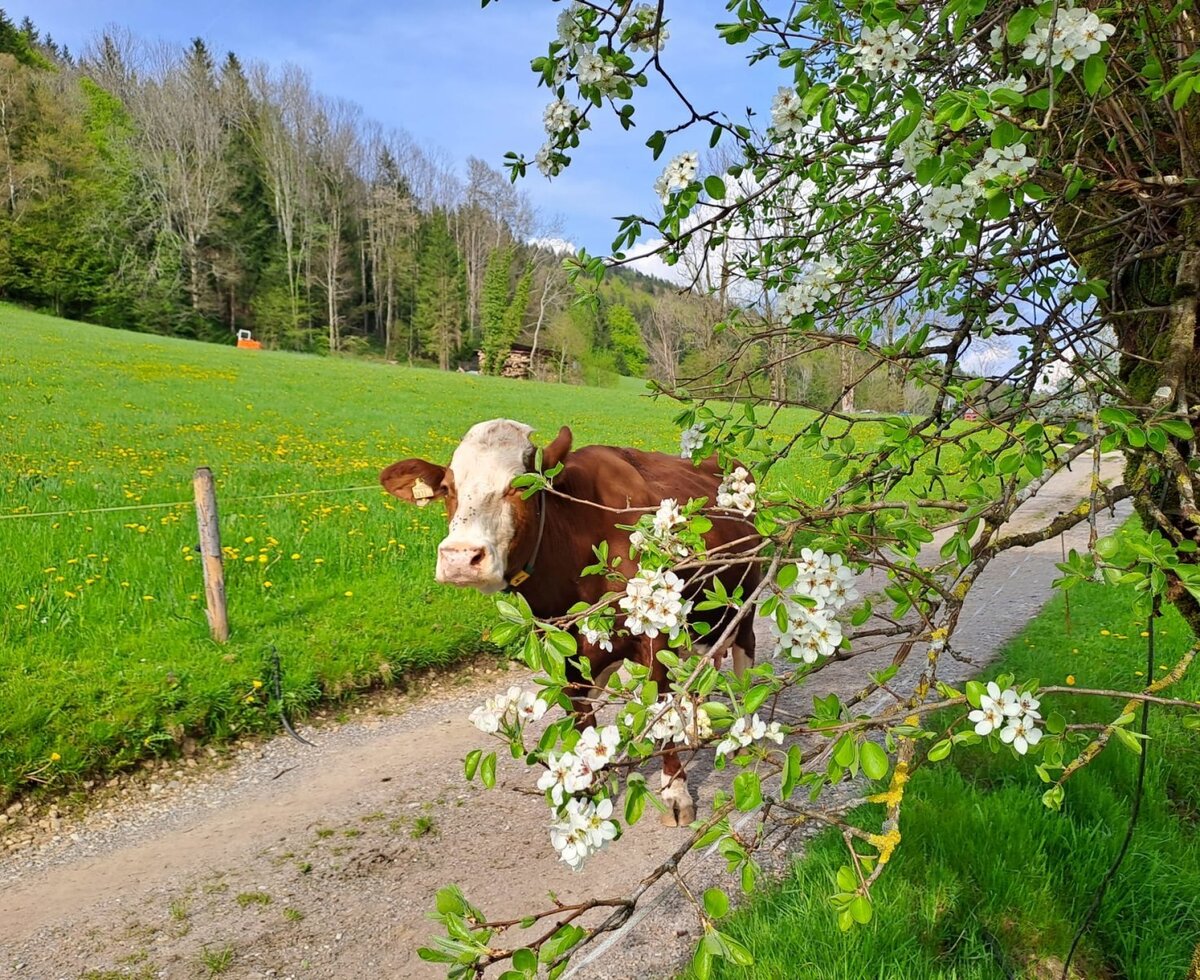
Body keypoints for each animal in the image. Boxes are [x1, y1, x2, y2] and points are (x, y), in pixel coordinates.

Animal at [379, 418, 762, 826]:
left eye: (520, 486)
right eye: (449, 489)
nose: (460, 557)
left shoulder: (655, 638)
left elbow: (659, 712)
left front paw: (674, 792)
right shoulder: (562, 652)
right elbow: (581, 719)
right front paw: (587, 788)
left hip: (746, 606)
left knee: (744, 662)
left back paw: (742, 737)